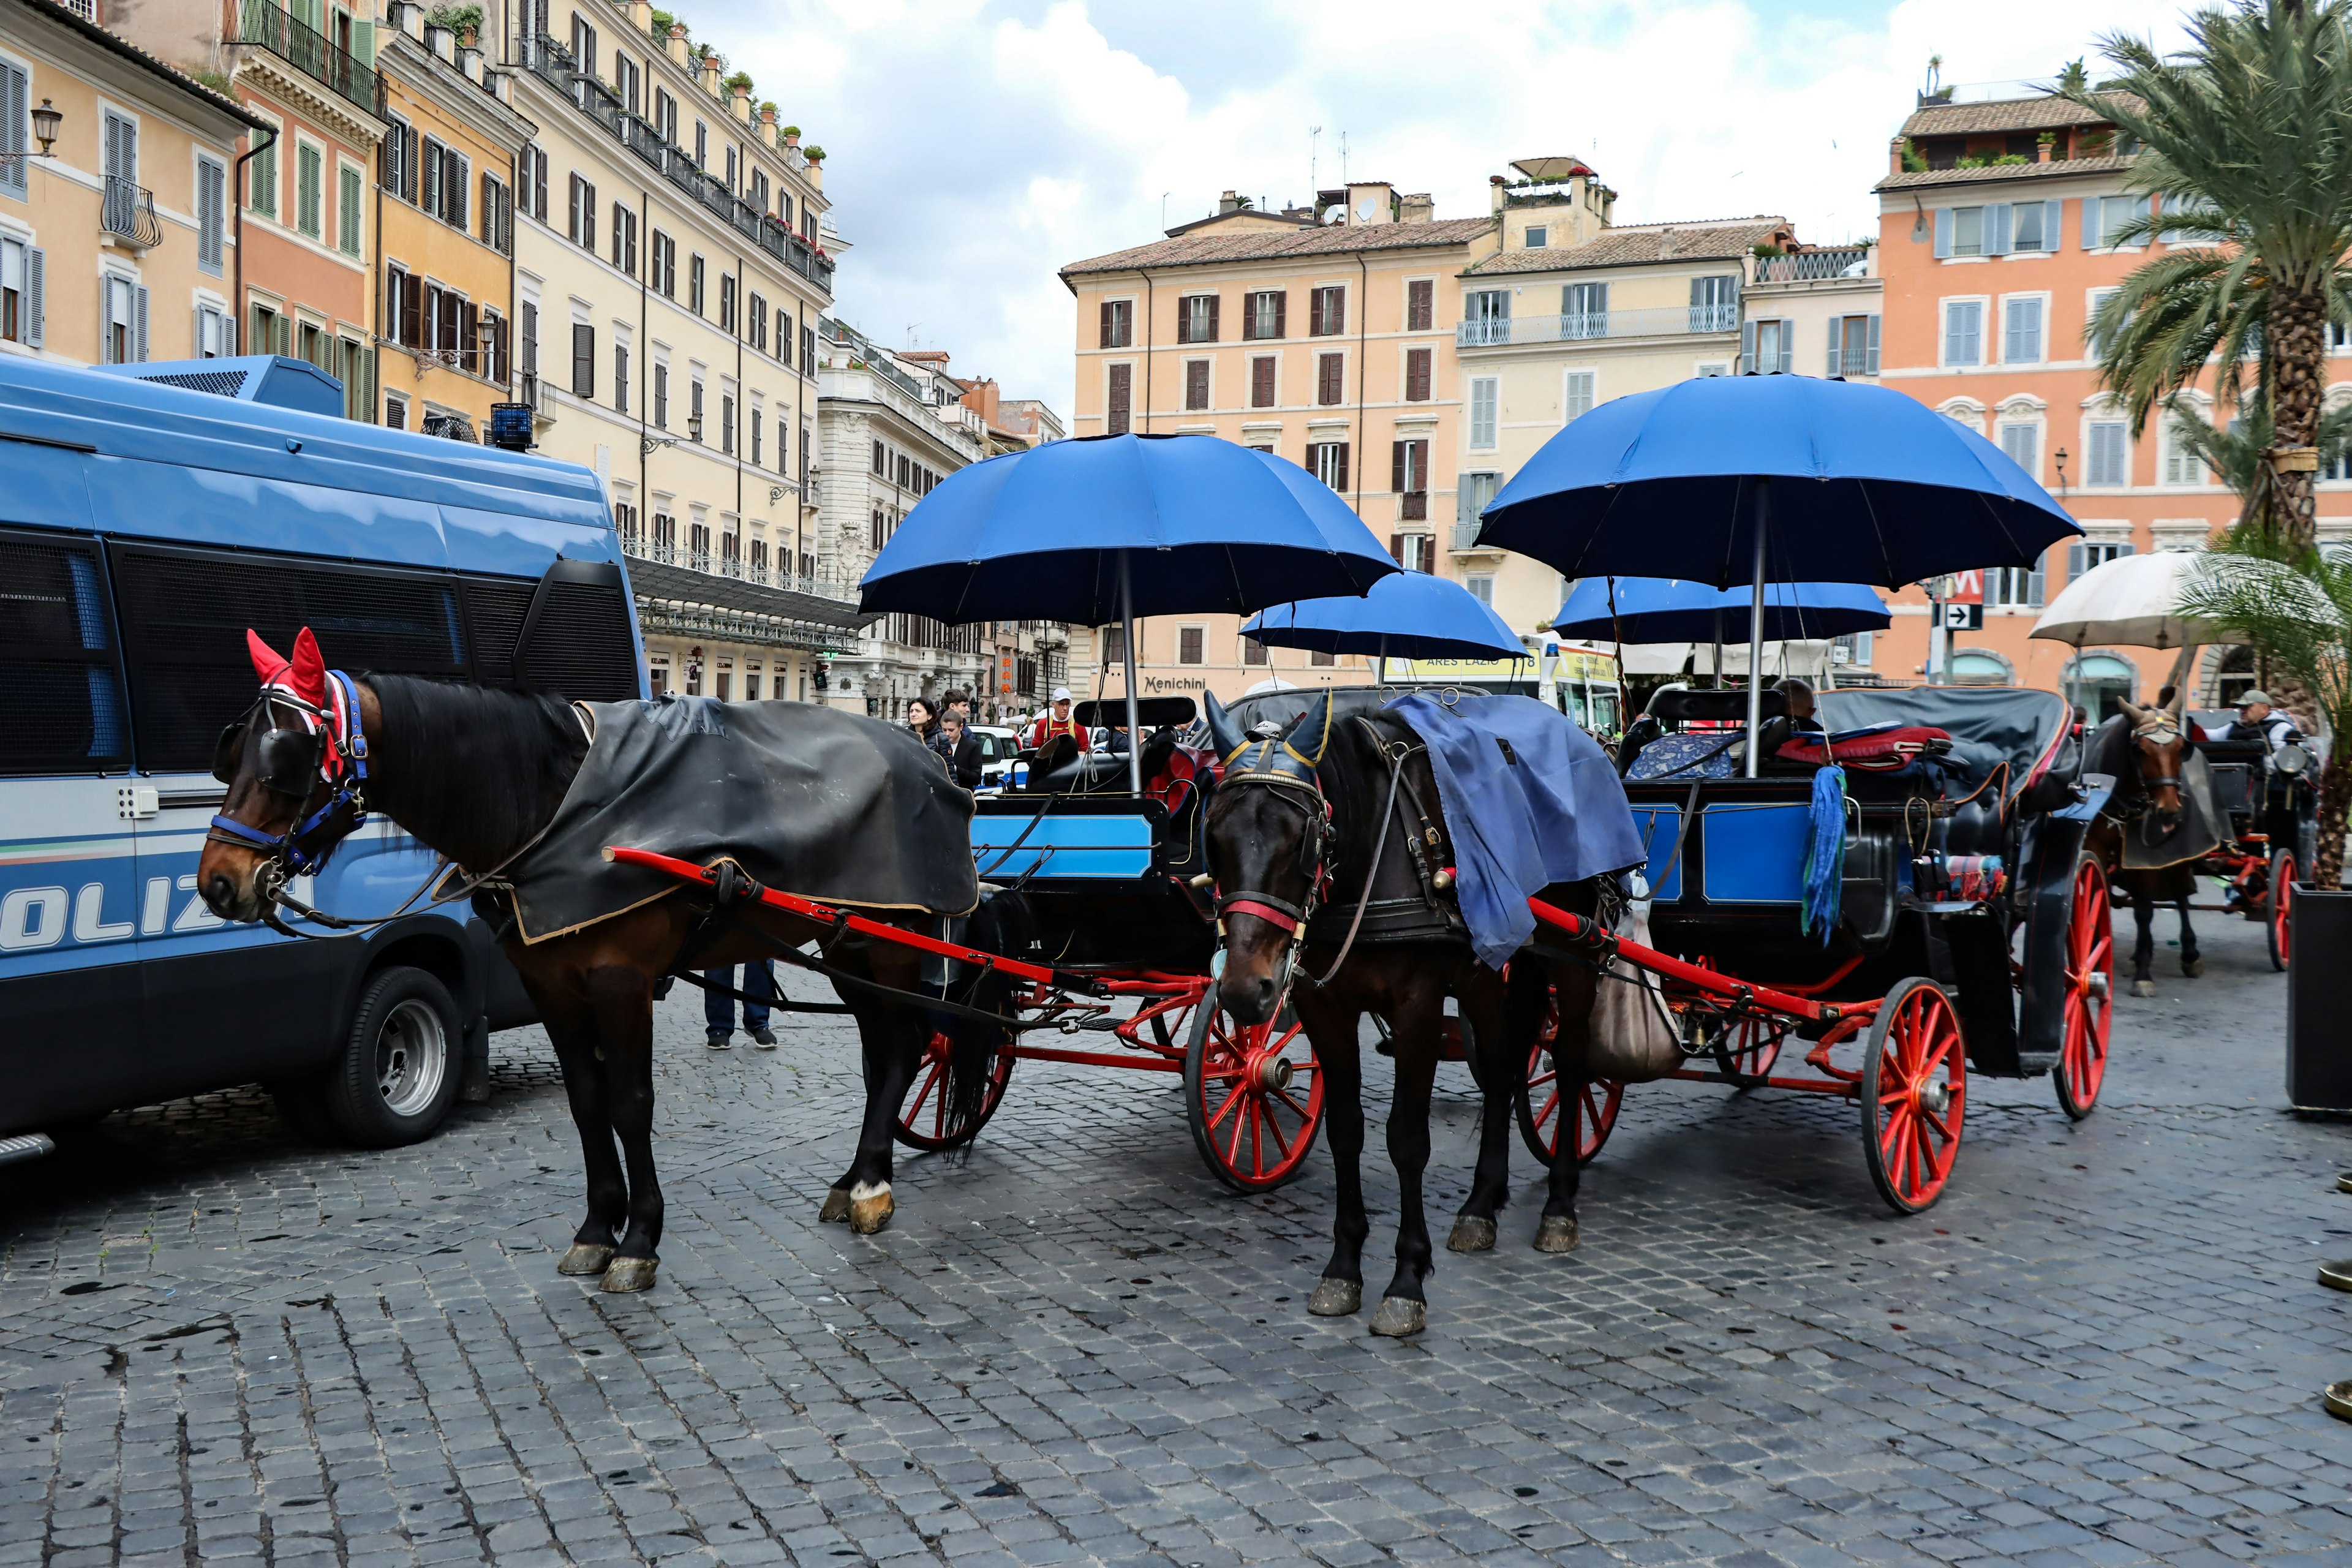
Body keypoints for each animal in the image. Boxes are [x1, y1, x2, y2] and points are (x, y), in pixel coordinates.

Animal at [202, 630, 1011, 1297]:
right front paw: (598, 1229)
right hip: (848, 948)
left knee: (902, 1051)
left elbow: (630, 1103)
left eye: (286, 760)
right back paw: (855, 1179)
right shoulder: (552, 986)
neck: (556, 807)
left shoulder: (620, 981)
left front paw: (641, 1238)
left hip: (889, 944)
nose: (218, 880)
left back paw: (872, 1185)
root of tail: (929, 757)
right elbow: (588, 1103)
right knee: (884, 1057)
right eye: (231, 753)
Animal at [1204, 691, 1608, 1344]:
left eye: (1302, 839)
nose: (1244, 989)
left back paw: (1559, 1206)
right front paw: (1343, 1268)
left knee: (1571, 1065)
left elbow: (1407, 1140)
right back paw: (1481, 1205)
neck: (1373, 849)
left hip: (1574, 949)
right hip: (1490, 966)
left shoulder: (1418, 1006)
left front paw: (1405, 1281)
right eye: (1213, 837)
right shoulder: (1325, 1010)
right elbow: (1345, 1130)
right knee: (1502, 1065)